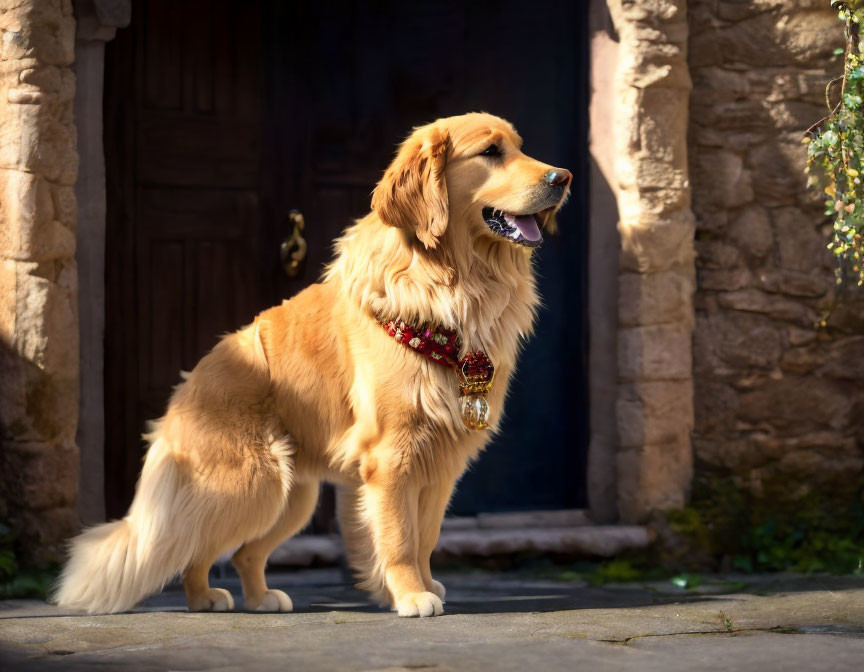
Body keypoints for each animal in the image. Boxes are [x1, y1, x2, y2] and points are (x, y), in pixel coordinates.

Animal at [52, 113, 568, 616]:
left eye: (519, 147)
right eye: (491, 151)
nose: (563, 178)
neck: (451, 280)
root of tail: (180, 396)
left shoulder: (441, 463)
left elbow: (426, 537)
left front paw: (421, 586)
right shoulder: (392, 457)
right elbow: (400, 538)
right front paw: (410, 596)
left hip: (294, 498)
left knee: (242, 553)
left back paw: (260, 599)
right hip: (253, 484)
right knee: (194, 549)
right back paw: (205, 599)